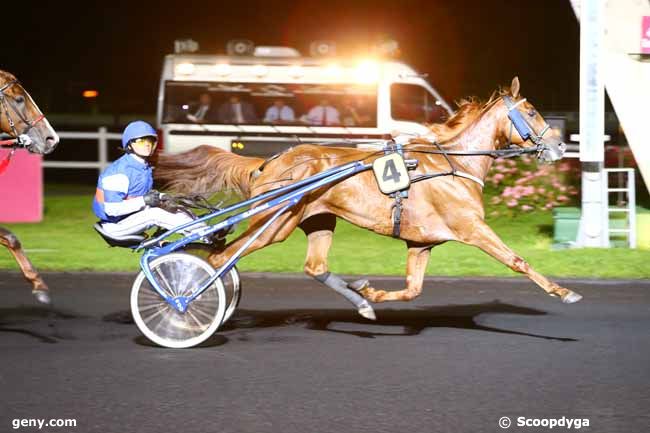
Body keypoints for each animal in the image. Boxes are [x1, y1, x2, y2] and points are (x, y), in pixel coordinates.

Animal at [157, 78, 584, 318]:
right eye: (532, 111)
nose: (561, 145)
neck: (454, 163)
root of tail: (268, 162)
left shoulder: (421, 242)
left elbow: (412, 289)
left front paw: (369, 292)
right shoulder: (472, 228)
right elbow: (517, 260)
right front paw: (564, 292)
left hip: (316, 220)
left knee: (313, 266)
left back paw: (359, 304)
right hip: (273, 223)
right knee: (219, 259)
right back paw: (184, 304)